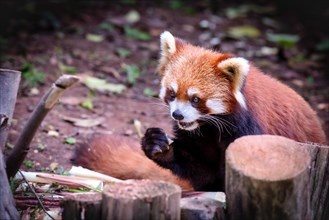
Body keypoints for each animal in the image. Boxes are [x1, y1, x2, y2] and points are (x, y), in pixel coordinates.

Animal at [72, 31, 326, 191]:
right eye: (172, 93)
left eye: (195, 99)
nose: (177, 115)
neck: (210, 129)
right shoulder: (199, 138)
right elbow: (201, 170)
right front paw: (158, 146)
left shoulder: (253, 134)